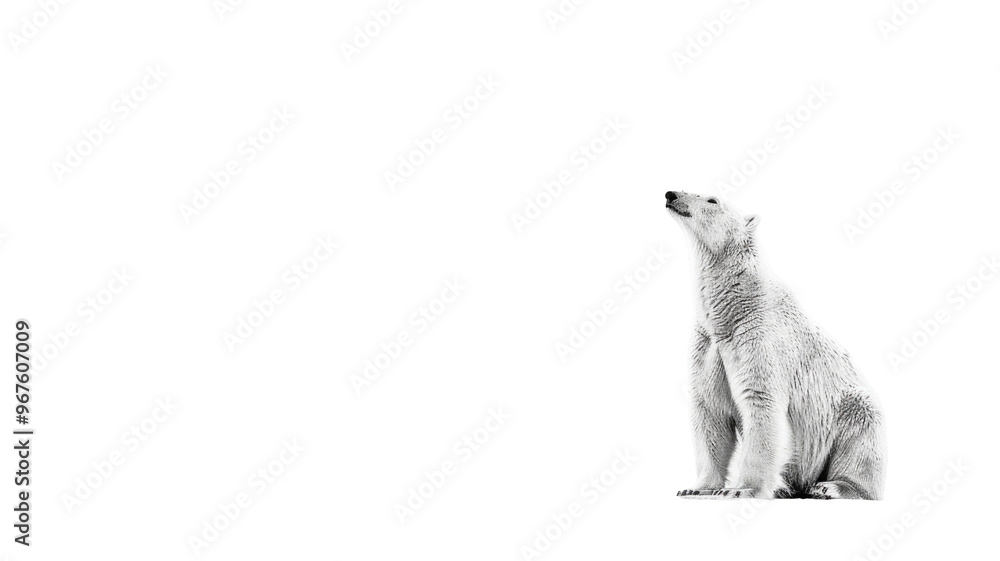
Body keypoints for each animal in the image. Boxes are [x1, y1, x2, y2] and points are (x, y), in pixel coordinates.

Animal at [664, 190, 886, 500]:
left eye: (712, 200)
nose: (671, 194)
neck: (733, 309)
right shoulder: (709, 344)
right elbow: (710, 409)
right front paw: (695, 488)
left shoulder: (760, 336)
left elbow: (761, 402)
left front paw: (742, 488)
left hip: (849, 406)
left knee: (861, 431)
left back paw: (832, 487)